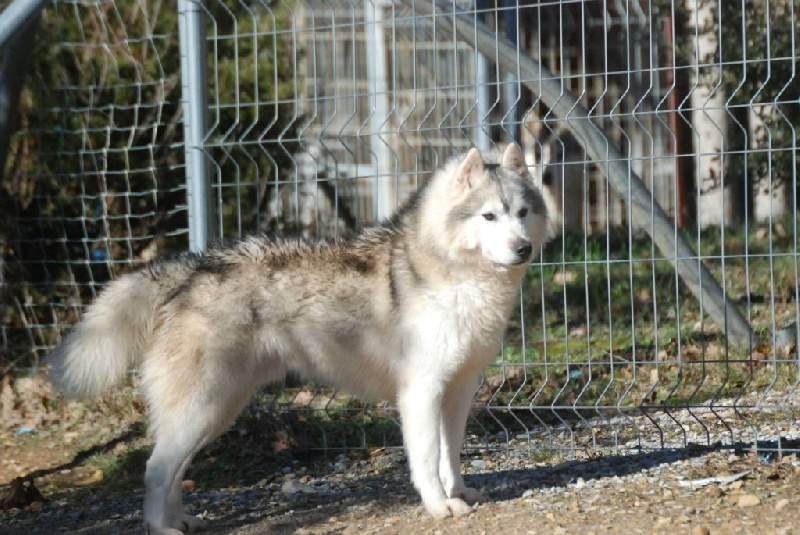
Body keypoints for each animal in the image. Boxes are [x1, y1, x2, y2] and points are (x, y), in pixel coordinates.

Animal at [48, 143, 548, 534]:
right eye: (489, 216)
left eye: (522, 214)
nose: (523, 248)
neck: (459, 275)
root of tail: (192, 270)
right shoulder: (420, 392)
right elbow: (426, 460)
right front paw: (439, 505)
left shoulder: (458, 390)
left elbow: (451, 455)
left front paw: (460, 492)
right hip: (204, 409)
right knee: (155, 471)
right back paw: (162, 528)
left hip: (215, 414)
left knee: (173, 471)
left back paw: (181, 521)